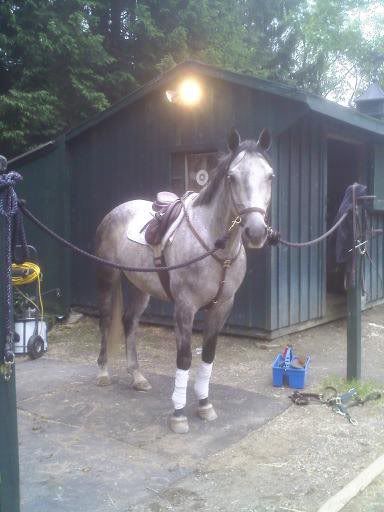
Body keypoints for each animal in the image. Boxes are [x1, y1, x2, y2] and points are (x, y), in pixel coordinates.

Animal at [96, 128, 274, 432]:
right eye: (232, 177)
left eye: (270, 176)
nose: (256, 232)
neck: (217, 248)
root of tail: (115, 212)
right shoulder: (185, 307)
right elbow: (185, 357)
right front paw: (178, 414)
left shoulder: (222, 306)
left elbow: (208, 355)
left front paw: (204, 404)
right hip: (109, 277)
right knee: (107, 319)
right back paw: (104, 373)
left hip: (141, 286)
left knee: (129, 321)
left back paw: (137, 377)